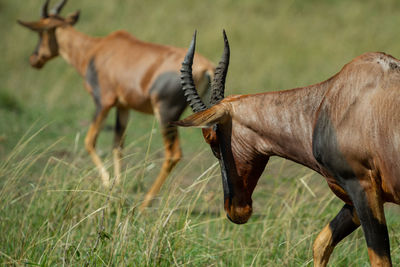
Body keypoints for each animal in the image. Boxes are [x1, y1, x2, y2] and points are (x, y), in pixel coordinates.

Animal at [18, 0, 216, 211]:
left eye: (41, 32)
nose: (34, 59)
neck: (96, 49)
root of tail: (207, 68)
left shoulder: (103, 102)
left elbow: (89, 141)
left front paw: (107, 183)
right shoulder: (123, 106)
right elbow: (117, 145)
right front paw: (117, 186)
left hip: (165, 114)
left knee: (173, 154)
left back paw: (145, 204)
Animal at [175, 30, 400, 266]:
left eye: (212, 140)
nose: (234, 210)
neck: (328, 102)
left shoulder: (362, 186)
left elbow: (379, 259)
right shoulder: (355, 197)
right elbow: (321, 244)